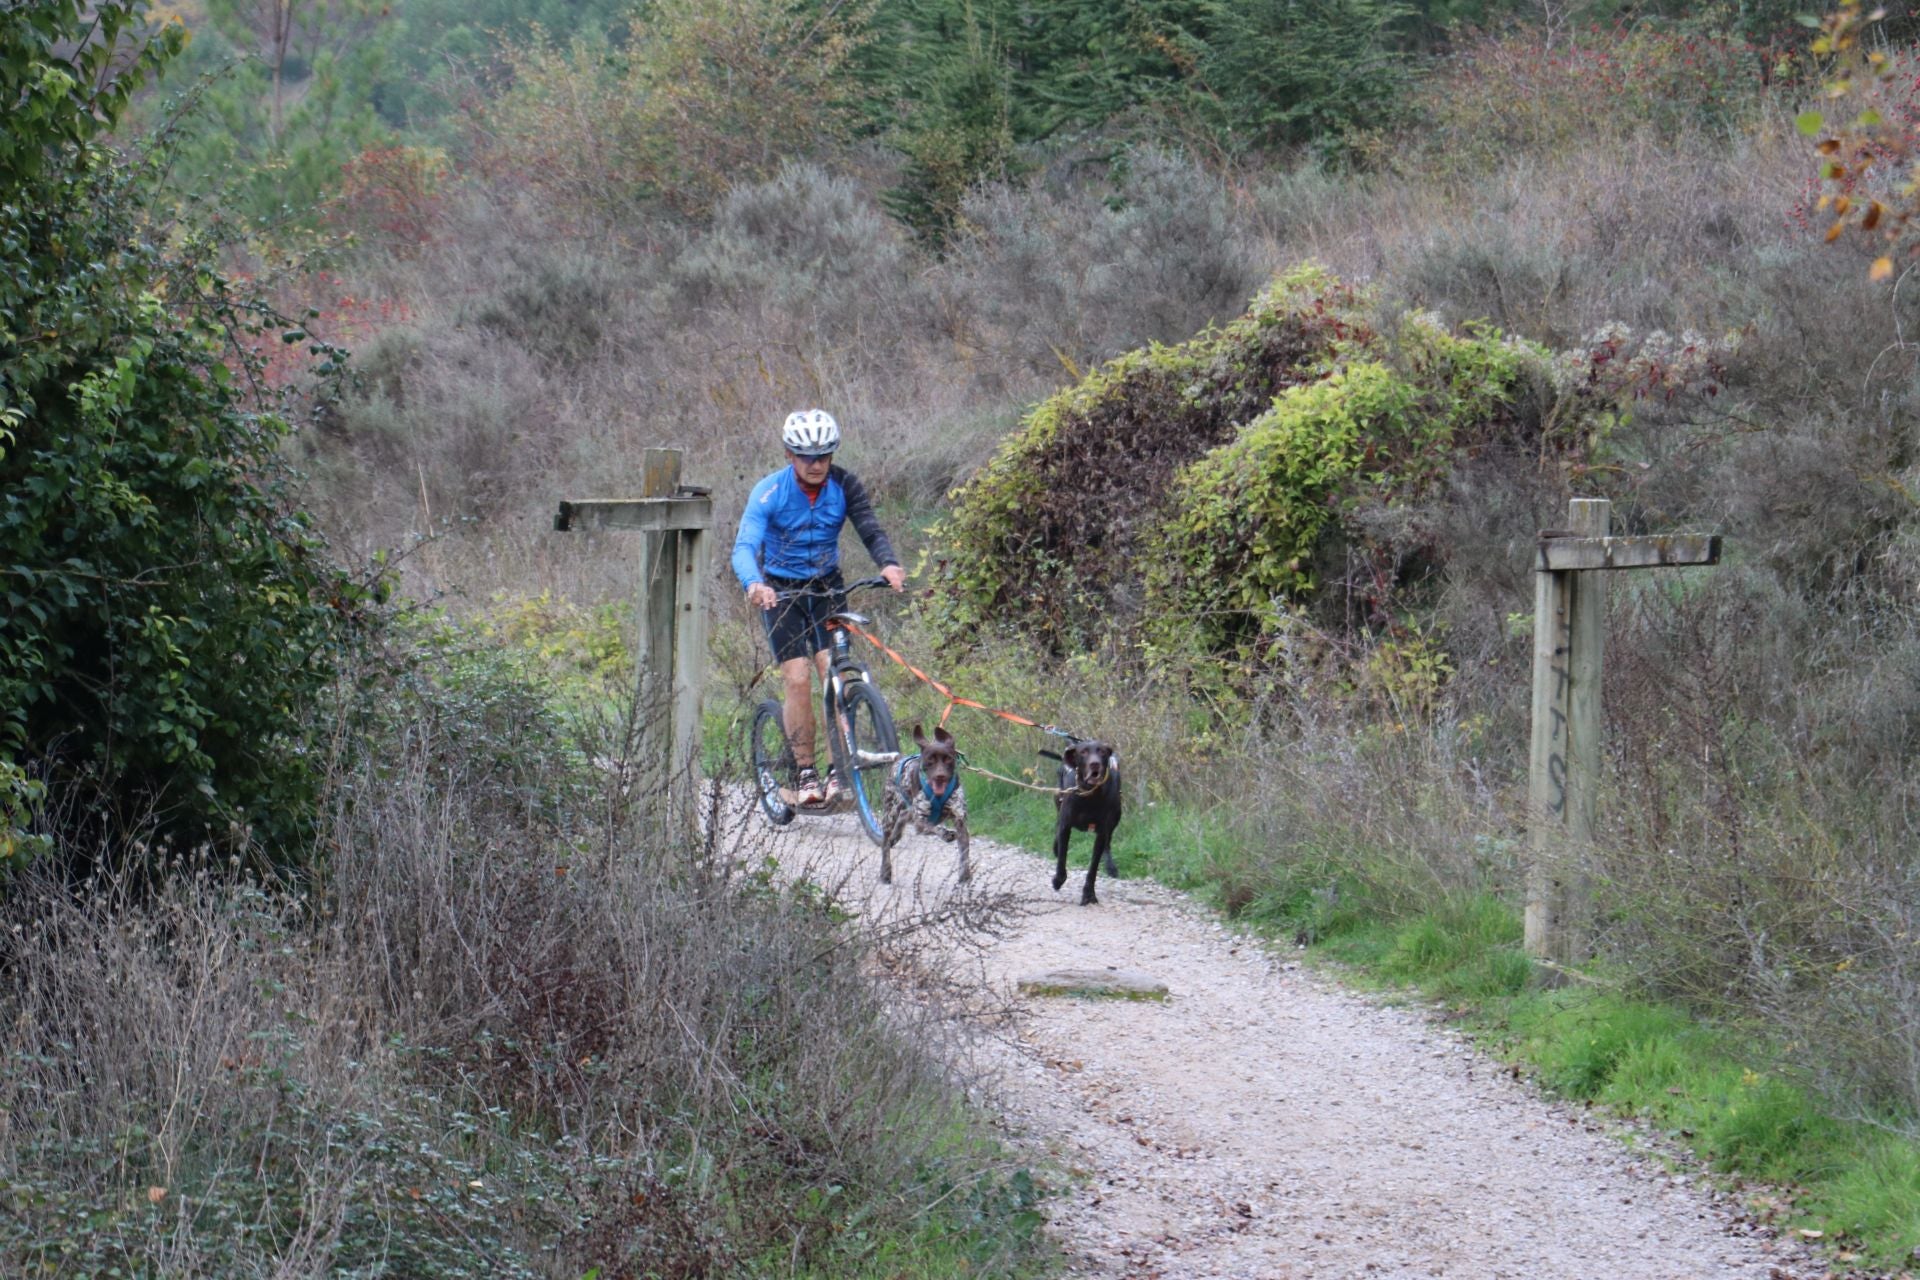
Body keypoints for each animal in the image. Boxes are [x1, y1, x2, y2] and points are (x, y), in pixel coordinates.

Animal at [883, 725, 975, 886]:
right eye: (930, 760)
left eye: (948, 759)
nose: (940, 776)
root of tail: (898, 759)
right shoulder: (920, 821)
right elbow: (931, 827)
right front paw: (945, 833)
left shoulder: (960, 821)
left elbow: (964, 853)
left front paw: (965, 876)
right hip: (890, 813)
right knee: (885, 845)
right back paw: (885, 872)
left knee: (904, 816)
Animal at [1052, 736, 1121, 905]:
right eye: (1083, 752)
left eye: (1102, 751)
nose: (1094, 763)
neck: (1090, 794)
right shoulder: (1066, 825)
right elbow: (1062, 857)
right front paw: (1058, 880)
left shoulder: (1102, 832)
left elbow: (1093, 868)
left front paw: (1089, 894)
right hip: (1058, 798)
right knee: (1057, 826)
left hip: (1117, 816)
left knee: (1108, 843)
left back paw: (1110, 866)